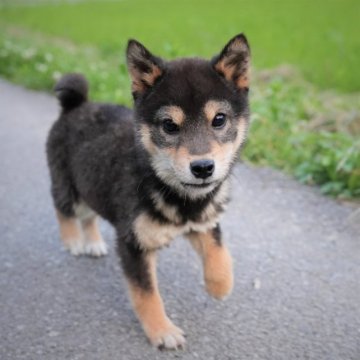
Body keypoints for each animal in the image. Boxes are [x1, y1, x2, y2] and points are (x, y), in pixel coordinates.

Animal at [46, 33, 250, 348]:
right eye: (169, 125)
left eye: (219, 119)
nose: (203, 167)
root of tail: (75, 106)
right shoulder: (133, 242)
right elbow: (147, 295)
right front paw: (162, 331)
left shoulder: (202, 220)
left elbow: (219, 251)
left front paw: (220, 285)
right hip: (69, 186)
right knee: (63, 208)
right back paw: (73, 241)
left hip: (92, 186)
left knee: (89, 215)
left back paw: (92, 243)